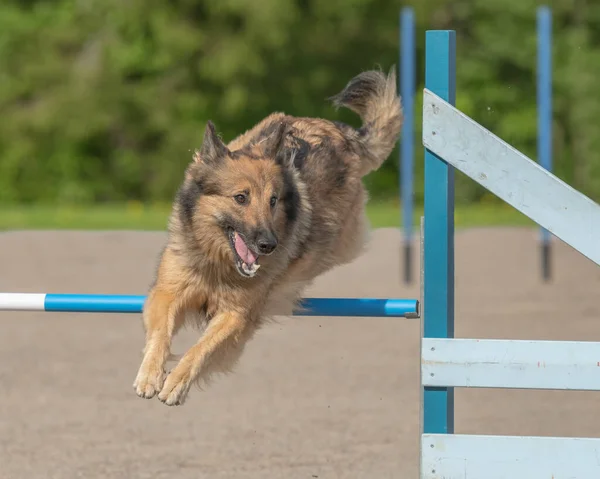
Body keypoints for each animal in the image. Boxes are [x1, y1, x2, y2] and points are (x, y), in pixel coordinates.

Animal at [132, 67, 404, 404]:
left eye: (273, 200)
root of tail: (341, 132)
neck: (218, 261)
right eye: (240, 198)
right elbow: (160, 332)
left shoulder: (237, 314)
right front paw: (149, 374)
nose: (269, 245)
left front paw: (176, 382)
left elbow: (201, 349)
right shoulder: (168, 291)